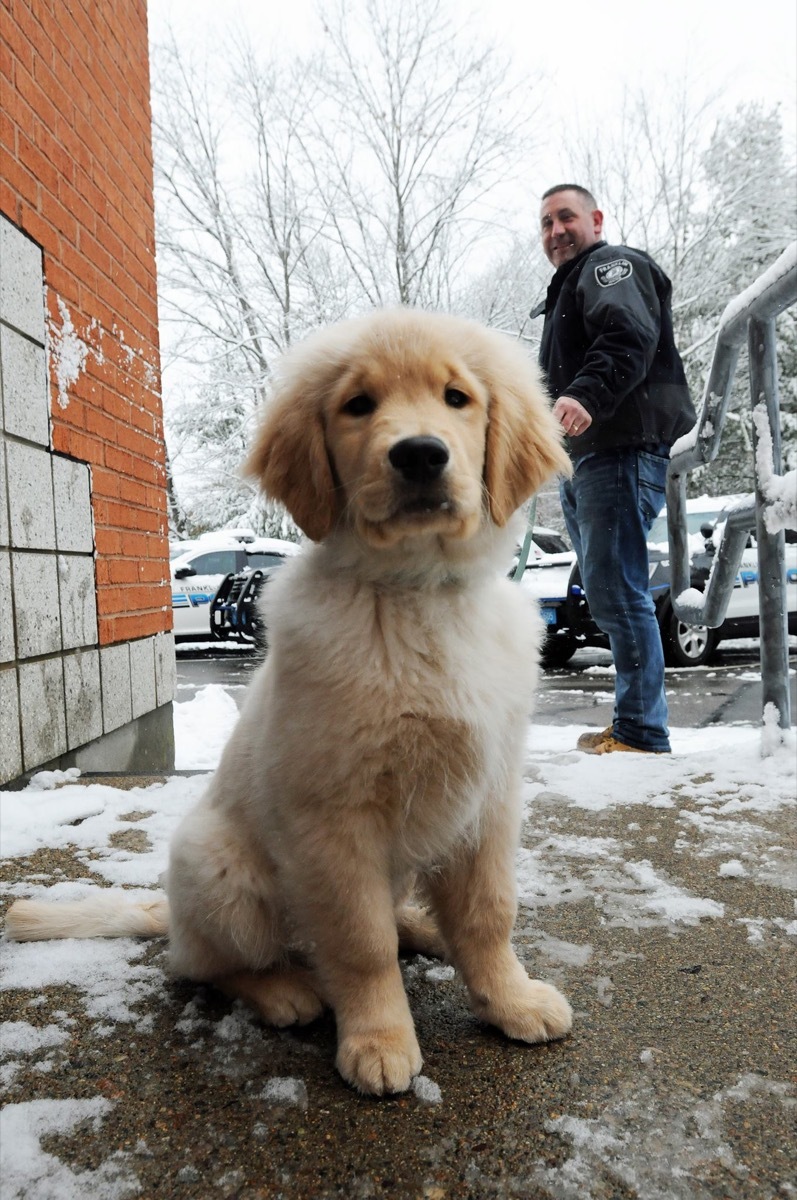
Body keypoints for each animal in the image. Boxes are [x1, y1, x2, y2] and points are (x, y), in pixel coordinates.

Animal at [4, 307, 573, 1099]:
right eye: (358, 405)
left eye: (456, 398)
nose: (419, 455)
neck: (415, 593)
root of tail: (170, 913)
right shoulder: (334, 815)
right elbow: (361, 943)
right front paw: (378, 1039)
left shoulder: (488, 794)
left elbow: (489, 913)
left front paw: (509, 1000)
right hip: (218, 868)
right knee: (206, 965)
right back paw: (283, 990)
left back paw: (423, 927)